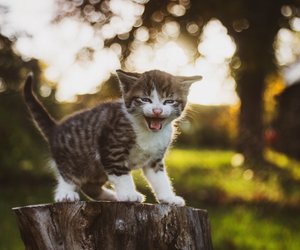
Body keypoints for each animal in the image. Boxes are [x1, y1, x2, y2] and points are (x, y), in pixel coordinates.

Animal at [23, 69, 202, 206]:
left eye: (169, 101)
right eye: (145, 99)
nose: (157, 111)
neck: (147, 131)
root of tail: (56, 128)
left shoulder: (155, 159)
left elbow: (160, 178)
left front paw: (168, 197)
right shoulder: (111, 147)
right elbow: (121, 173)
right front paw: (129, 194)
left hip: (96, 169)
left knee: (91, 186)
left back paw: (111, 196)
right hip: (73, 158)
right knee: (68, 175)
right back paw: (65, 194)